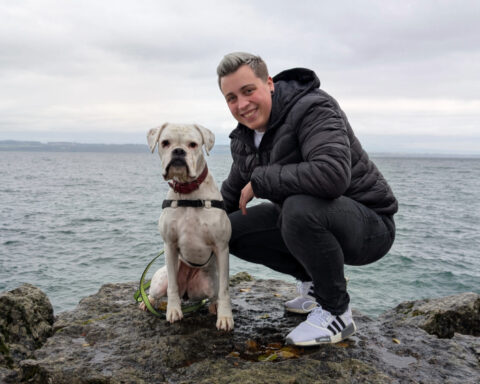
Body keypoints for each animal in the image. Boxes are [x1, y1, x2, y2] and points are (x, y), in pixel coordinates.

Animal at [142, 122, 233, 330]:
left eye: (193, 144)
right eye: (165, 143)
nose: (178, 151)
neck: (188, 192)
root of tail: (187, 294)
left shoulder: (221, 247)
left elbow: (224, 290)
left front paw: (225, 317)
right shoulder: (169, 245)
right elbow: (172, 288)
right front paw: (173, 311)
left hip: (209, 283)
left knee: (214, 295)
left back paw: (214, 306)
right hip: (161, 279)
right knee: (156, 292)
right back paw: (147, 302)